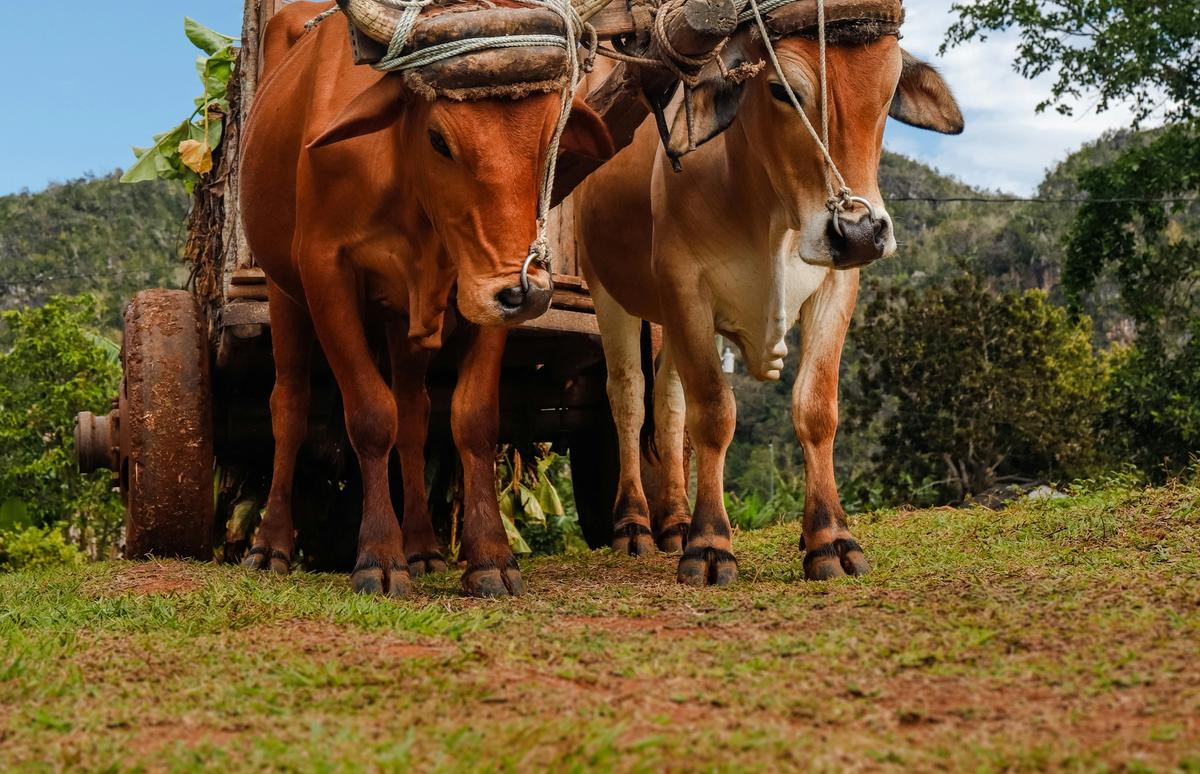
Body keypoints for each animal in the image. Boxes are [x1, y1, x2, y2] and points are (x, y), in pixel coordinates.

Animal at [239, 1, 613, 597]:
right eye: (440, 140)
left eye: (547, 139)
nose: (525, 292)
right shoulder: (326, 275)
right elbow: (370, 416)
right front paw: (377, 557)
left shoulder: (482, 283)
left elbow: (472, 420)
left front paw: (490, 558)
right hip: (282, 291)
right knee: (289, 407)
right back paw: (270, 545)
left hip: (402, 322)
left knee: (414, 415)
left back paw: (422, 548)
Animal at [574, 10, 963, 585]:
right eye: (784, 90)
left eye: (889, 91)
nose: (861, 233)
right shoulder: (685, 286)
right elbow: (714, 414)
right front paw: (710, 544)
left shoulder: (836, 286)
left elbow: (815, 407)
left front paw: (828, 536)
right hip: (608, 293)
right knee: (627, 398)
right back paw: (635, 524)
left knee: (668, 404)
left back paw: (675, 521)